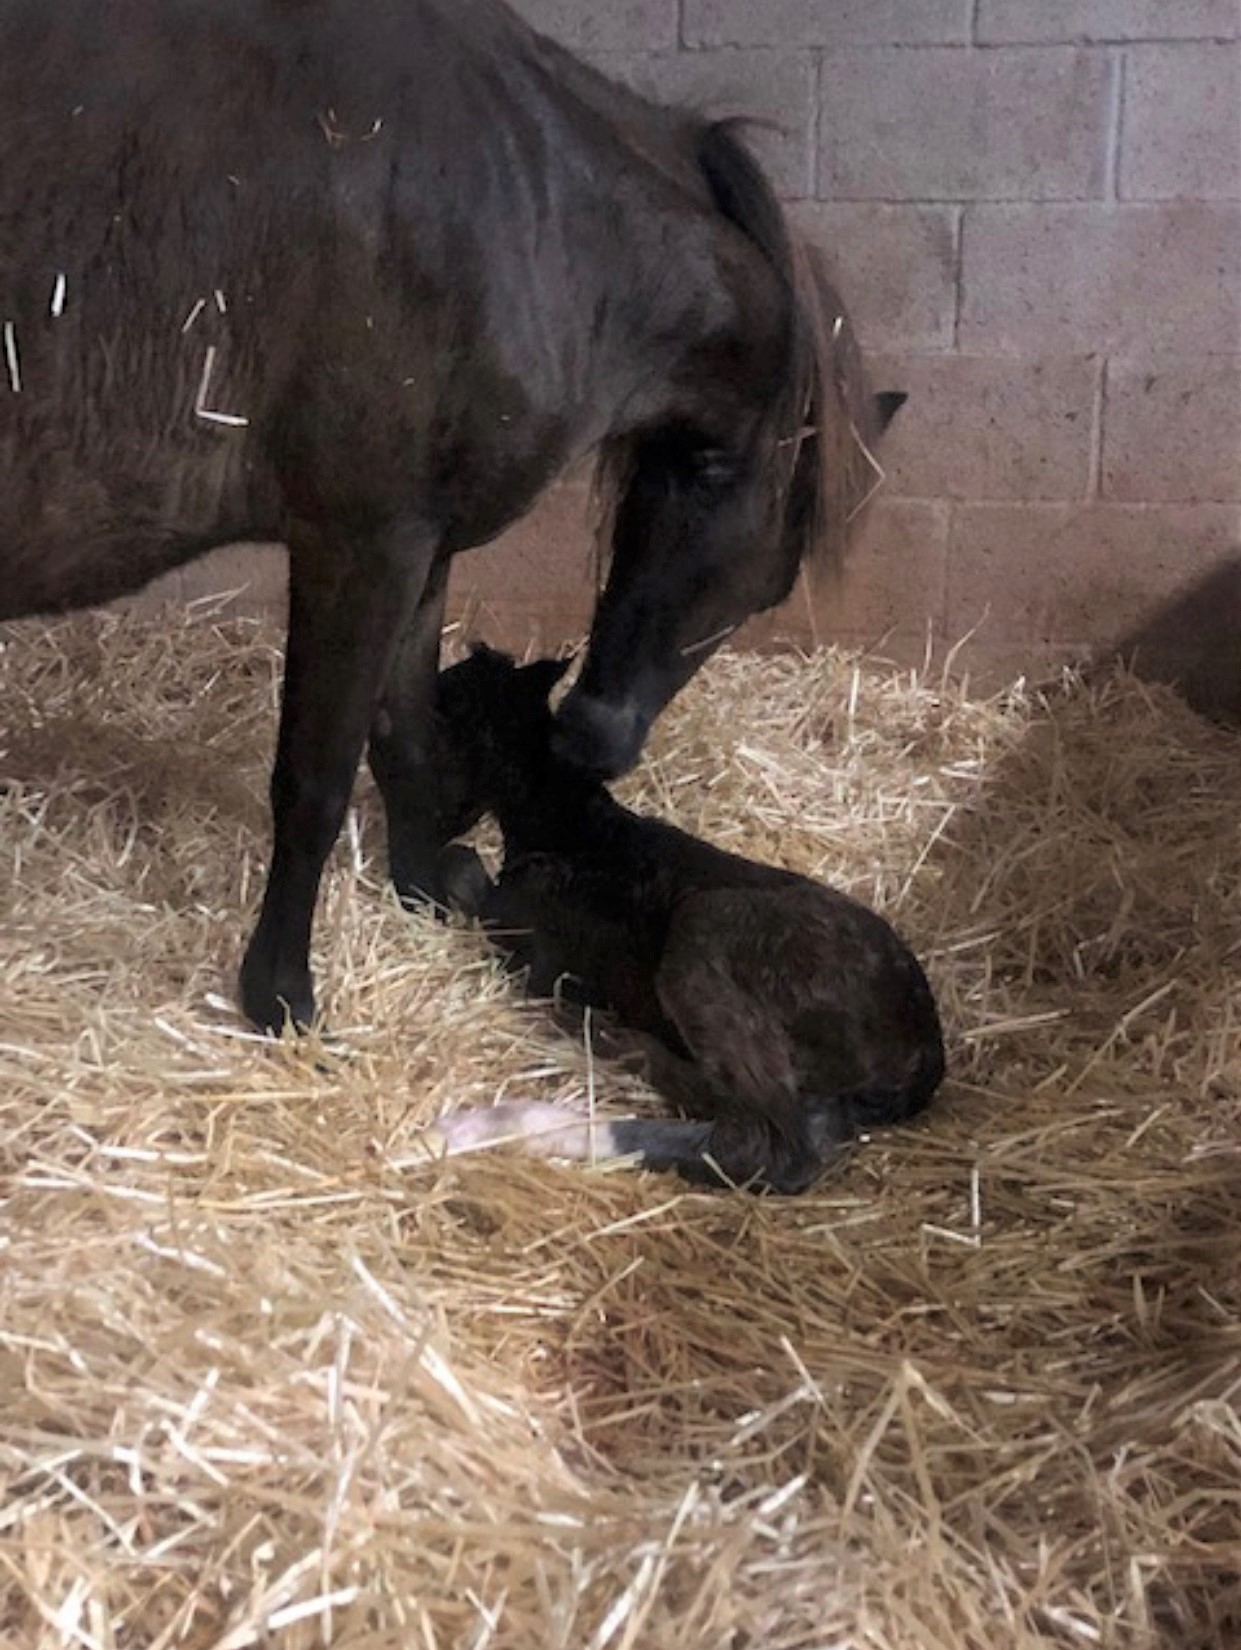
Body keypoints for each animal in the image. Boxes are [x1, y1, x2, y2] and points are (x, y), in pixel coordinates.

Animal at [425, 640, 937, 1188]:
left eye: (449, 700)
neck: (565, 821)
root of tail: (924, 1055)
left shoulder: (522, 934)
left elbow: (458, 867)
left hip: (707, 925)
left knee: (767, 1146)